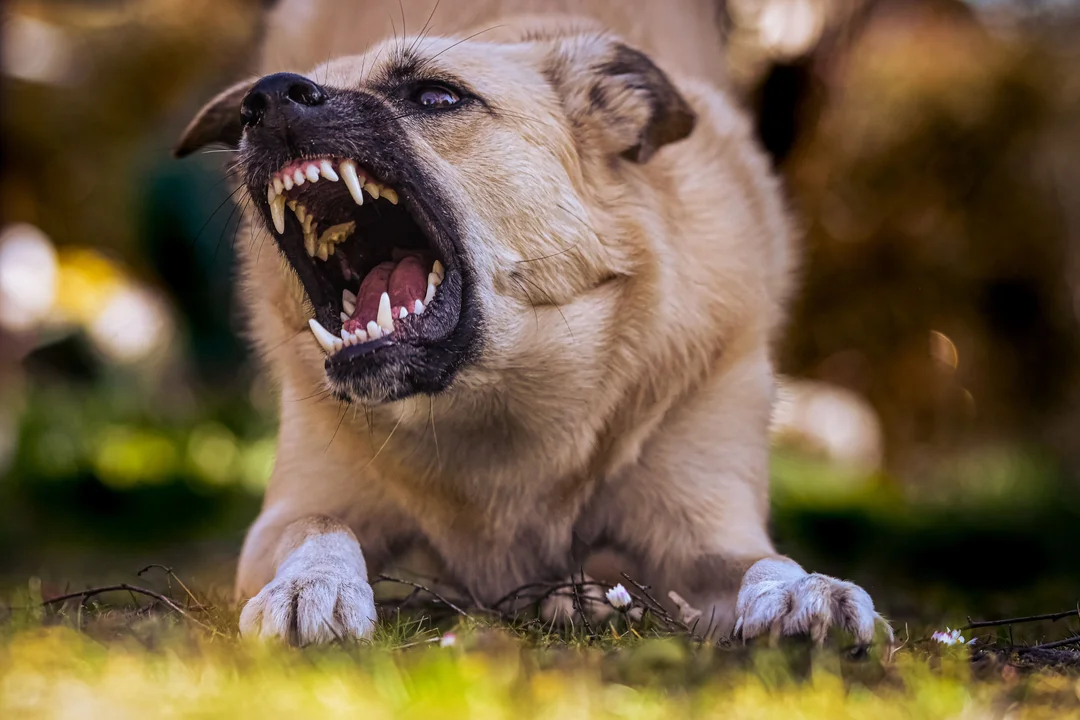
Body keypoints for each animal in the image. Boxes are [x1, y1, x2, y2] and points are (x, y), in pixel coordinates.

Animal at [174, 0, 885, 647]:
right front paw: (310, 583)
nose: (266, 99)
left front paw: (802, 590)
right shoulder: (289, 513)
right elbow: (319, 526)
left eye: (436, 95)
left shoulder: (705, 529)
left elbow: (762, 560)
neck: (493, 406)